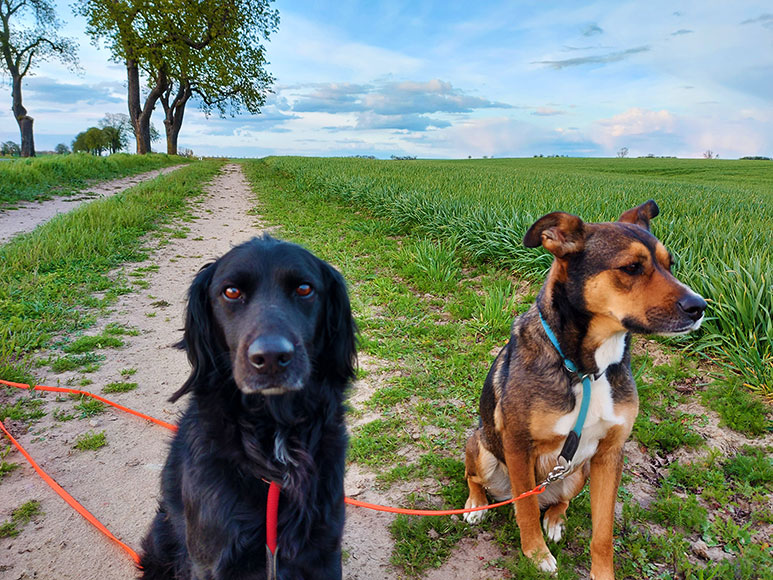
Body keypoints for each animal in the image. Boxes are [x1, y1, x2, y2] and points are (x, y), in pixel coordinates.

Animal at [464, 202, 704, 576]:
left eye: (670, 264)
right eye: (631, 267)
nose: (700, 307)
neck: (589, 370)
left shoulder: (610, 454)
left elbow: (603, 532)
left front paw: (602, 573)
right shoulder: (518, 445)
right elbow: (526, 511)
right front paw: (536, 555)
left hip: (578, 473)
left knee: (557, 500)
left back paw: (555, 519)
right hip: (482, 449)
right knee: (481, 481)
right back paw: (476, 505)